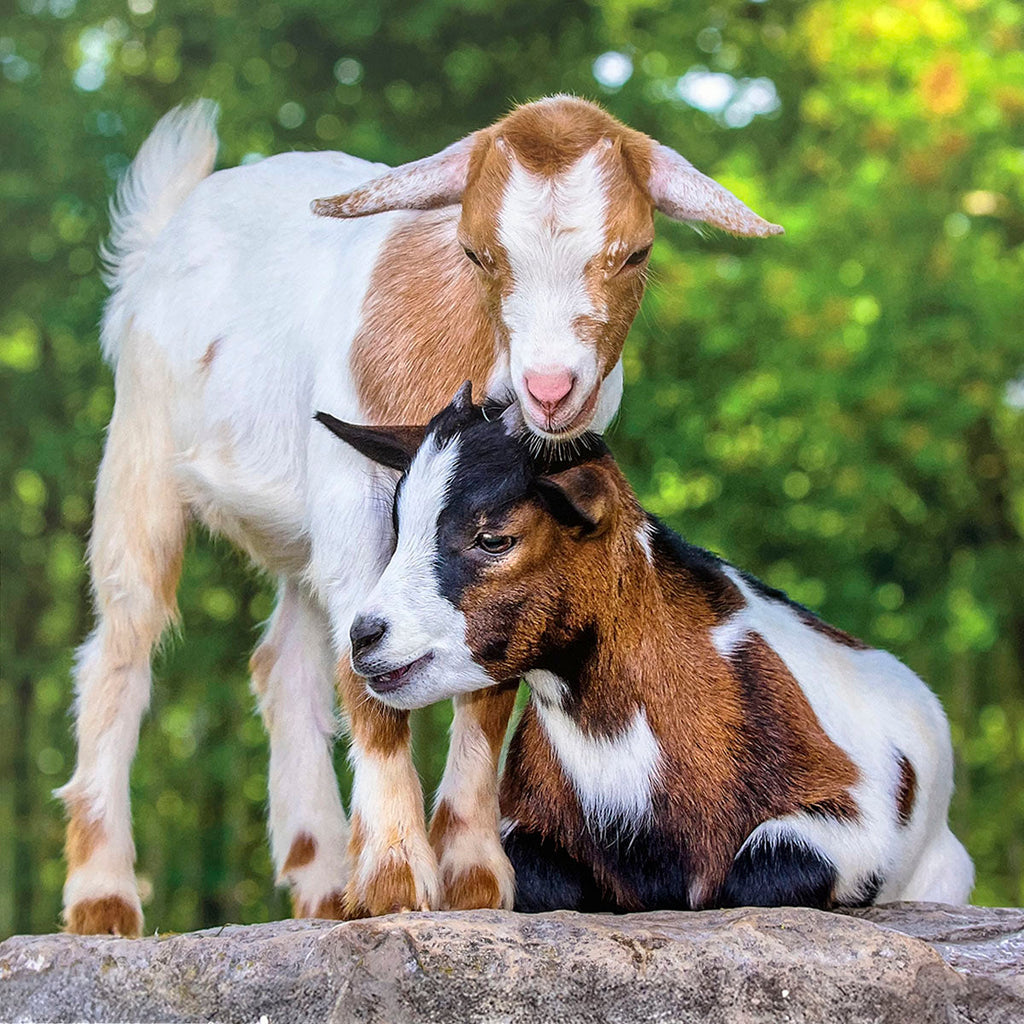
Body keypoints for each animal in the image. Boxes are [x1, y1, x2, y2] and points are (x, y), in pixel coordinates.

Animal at [59, 95, 782, 934]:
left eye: (635, 255)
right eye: (477, 253)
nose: (548, 390)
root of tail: (163, 234)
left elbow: (489, 679)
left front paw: (473, 877)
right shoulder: (357, 506)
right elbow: (366, 670)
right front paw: (398, 878)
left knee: (283, 665)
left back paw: (321, 884)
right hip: (140, 443)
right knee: (123, 638)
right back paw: (103, 896)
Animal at [318, 386, 974, 913]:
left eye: (494, 537)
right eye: (398, 529)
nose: (365, 635)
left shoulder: (856, 820)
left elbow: (753, 875)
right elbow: (548, 881)